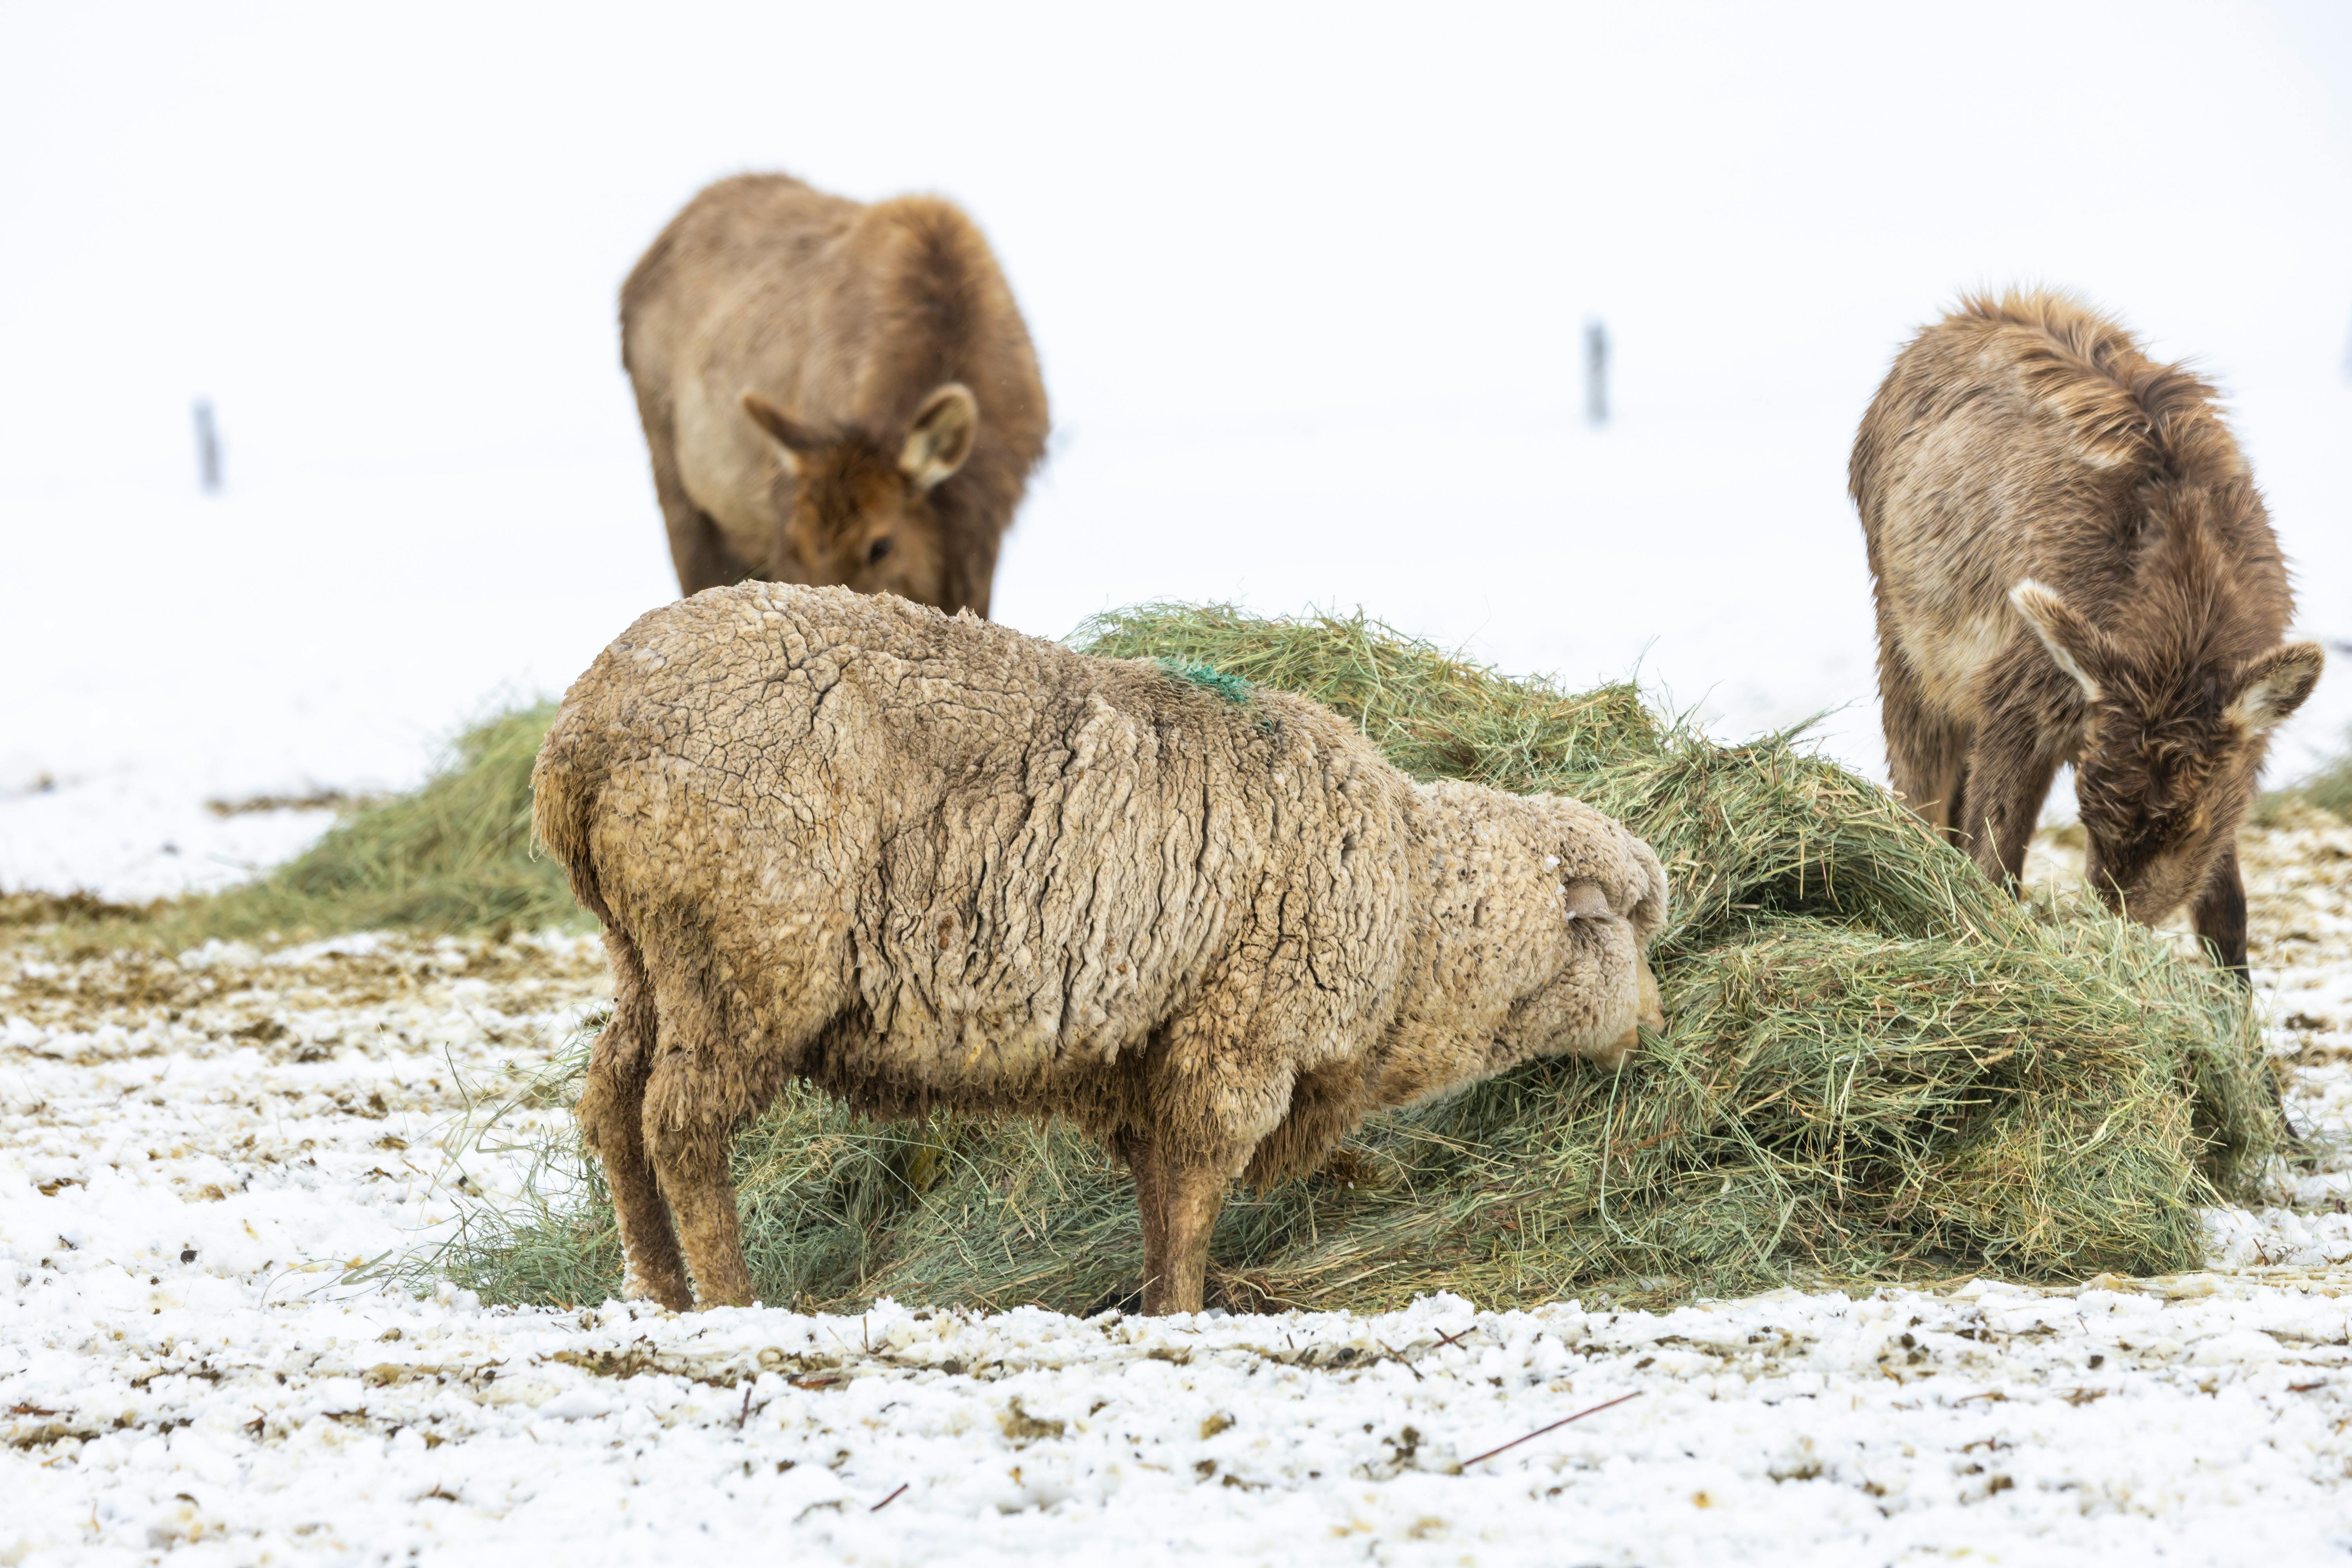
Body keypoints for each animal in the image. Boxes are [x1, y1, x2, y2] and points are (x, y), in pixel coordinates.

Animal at [534, 585, 1675, 1316]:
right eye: (1628, 921)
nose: (1660, 1029)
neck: (1410, 912)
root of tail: (585, 732)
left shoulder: (1148, 1054)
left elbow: (1162, 1193)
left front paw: (1160, 1295)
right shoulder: (1239, 1036)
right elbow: (1201, 1189)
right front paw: (1184, 1313)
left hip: (649, 955)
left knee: (612, 1107)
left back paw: (659, 1291)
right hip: (743, 956)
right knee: (682, 1126)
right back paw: (730, 1302)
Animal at [1844, 290, 2324, 973]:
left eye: (2194, 822)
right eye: (2086, 810)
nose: (2119, 923)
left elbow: (2227, 914)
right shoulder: (2015, 693)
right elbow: (1992, 865)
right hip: (1904, 639)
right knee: (1924, 796)